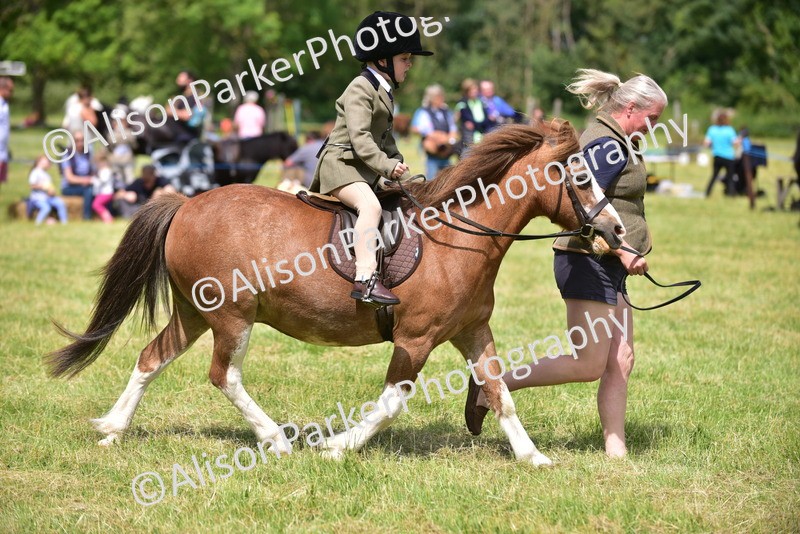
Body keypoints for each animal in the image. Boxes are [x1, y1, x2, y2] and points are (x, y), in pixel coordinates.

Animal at [46, 120, 625, 466]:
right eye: (579, 176)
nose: (616, 231)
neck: (460, 237)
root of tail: (185, 203)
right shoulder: (415, 339)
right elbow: (390, 404)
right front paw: (335, 447)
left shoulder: (471, 331)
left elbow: (501, 391)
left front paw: (532, 457)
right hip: (233, 316)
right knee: (223, 375)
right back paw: (276, 440)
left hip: (196, 311)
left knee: (151, 358)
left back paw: (113, 429)